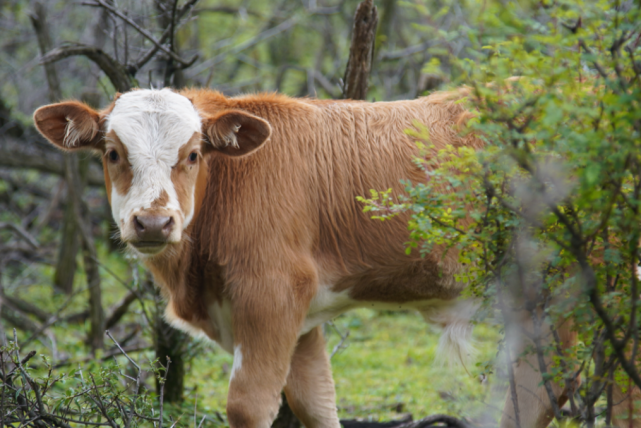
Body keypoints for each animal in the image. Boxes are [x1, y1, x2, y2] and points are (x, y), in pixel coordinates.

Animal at [32, 88, 616, 428]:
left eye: (193, 155)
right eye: (112, 154)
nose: (153, 223)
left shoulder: (271, 293)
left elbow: (249, 405)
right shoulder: (302, 319)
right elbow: (315, 402)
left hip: (560, 280)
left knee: (541, 383)